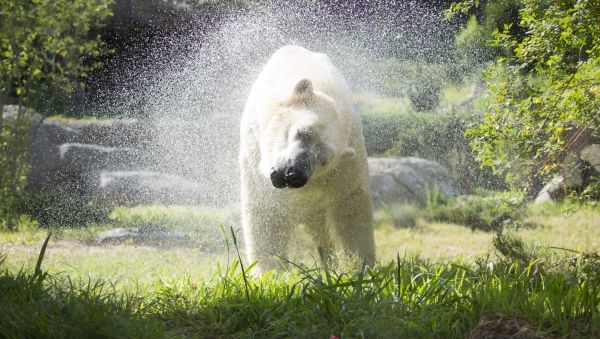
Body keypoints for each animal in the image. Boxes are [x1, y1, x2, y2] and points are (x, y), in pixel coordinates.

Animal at [239, 44, 376, 274]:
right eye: (301, 132)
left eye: (324, 160)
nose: (293, 173)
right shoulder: (254, 151)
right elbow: (265, 210)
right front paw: (270, 272)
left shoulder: (345, 166)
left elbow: (351, 205)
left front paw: (361, 267)